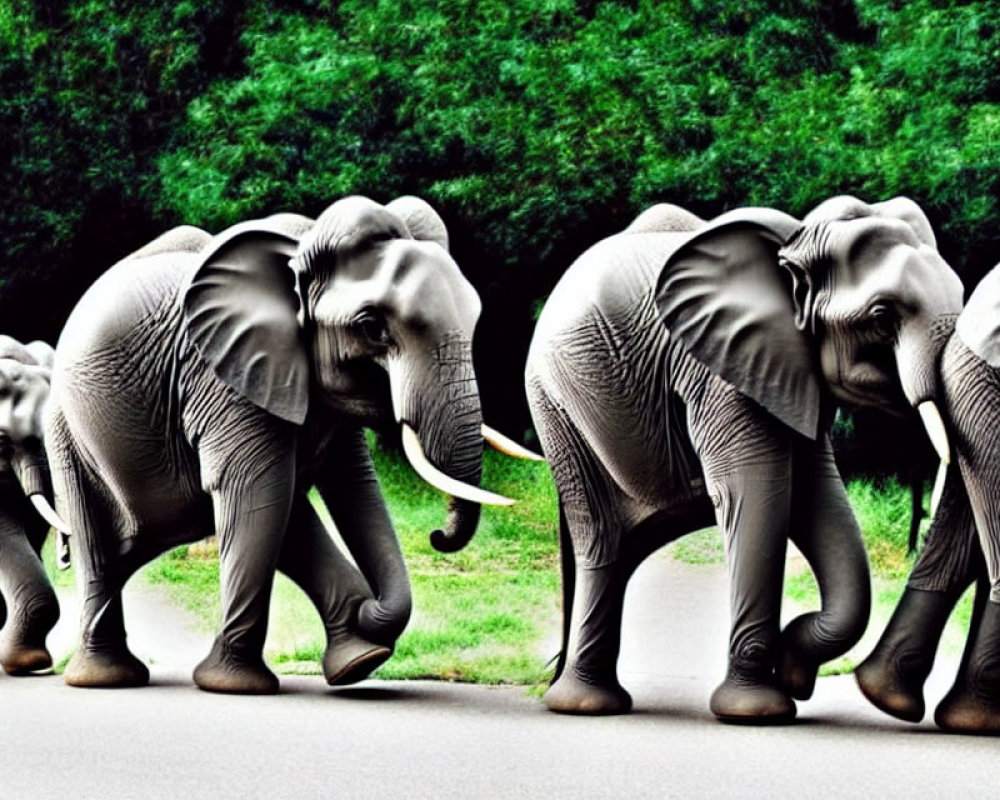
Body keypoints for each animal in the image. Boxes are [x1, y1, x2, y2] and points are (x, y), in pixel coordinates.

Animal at [46, 194, 532, 692]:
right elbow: (256, 491)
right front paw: (234, 687)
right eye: (372, 327)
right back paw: (106, 678)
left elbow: (346, 482)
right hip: (66, 436)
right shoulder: (219, 377)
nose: (437, 535)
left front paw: (360, 662)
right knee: (105, 542)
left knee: (285, 516)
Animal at [528, 197, 964, 720]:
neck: (797, 242)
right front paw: (757, 711)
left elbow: (817, 498)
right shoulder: (719, 370)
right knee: (601, 538)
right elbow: (755, 493)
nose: (799, 677)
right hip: (556, 405)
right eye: (881, 316)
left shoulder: (790, 372)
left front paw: (793, 671)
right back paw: (585, 705)